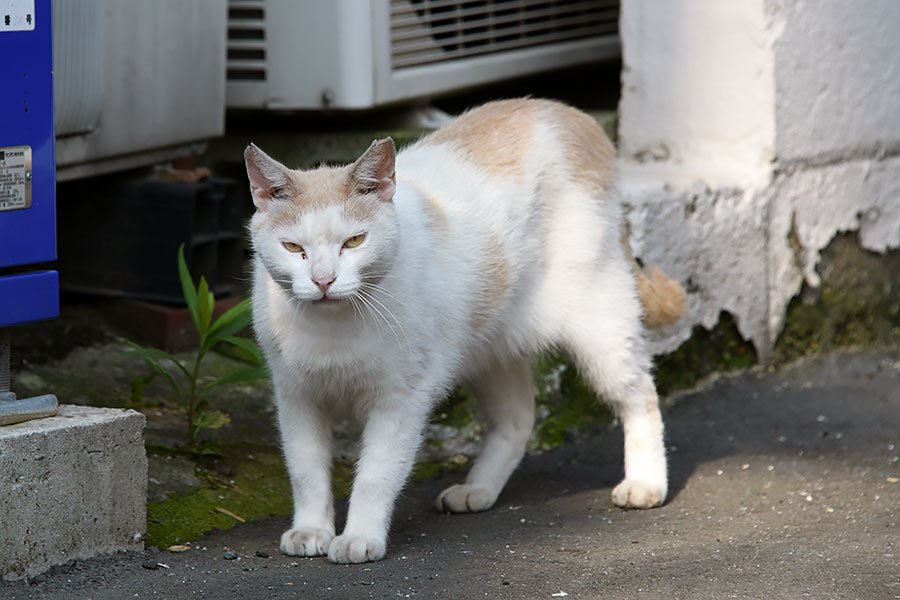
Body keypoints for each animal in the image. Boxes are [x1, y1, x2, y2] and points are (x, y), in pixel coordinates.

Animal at [243, 97, 684, 564]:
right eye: (294, 247)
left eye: (354, 242)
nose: (324, 280)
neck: (335, 325)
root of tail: (568, 112)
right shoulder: (296, 397)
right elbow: (306, 470)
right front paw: (311, 529)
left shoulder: (400, 401)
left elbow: (376, 475)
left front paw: (360, 536)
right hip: (489, 350)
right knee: (517, 419)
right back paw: (478, 490)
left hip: (601, 325)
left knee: (641, 397)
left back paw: (645, 484)